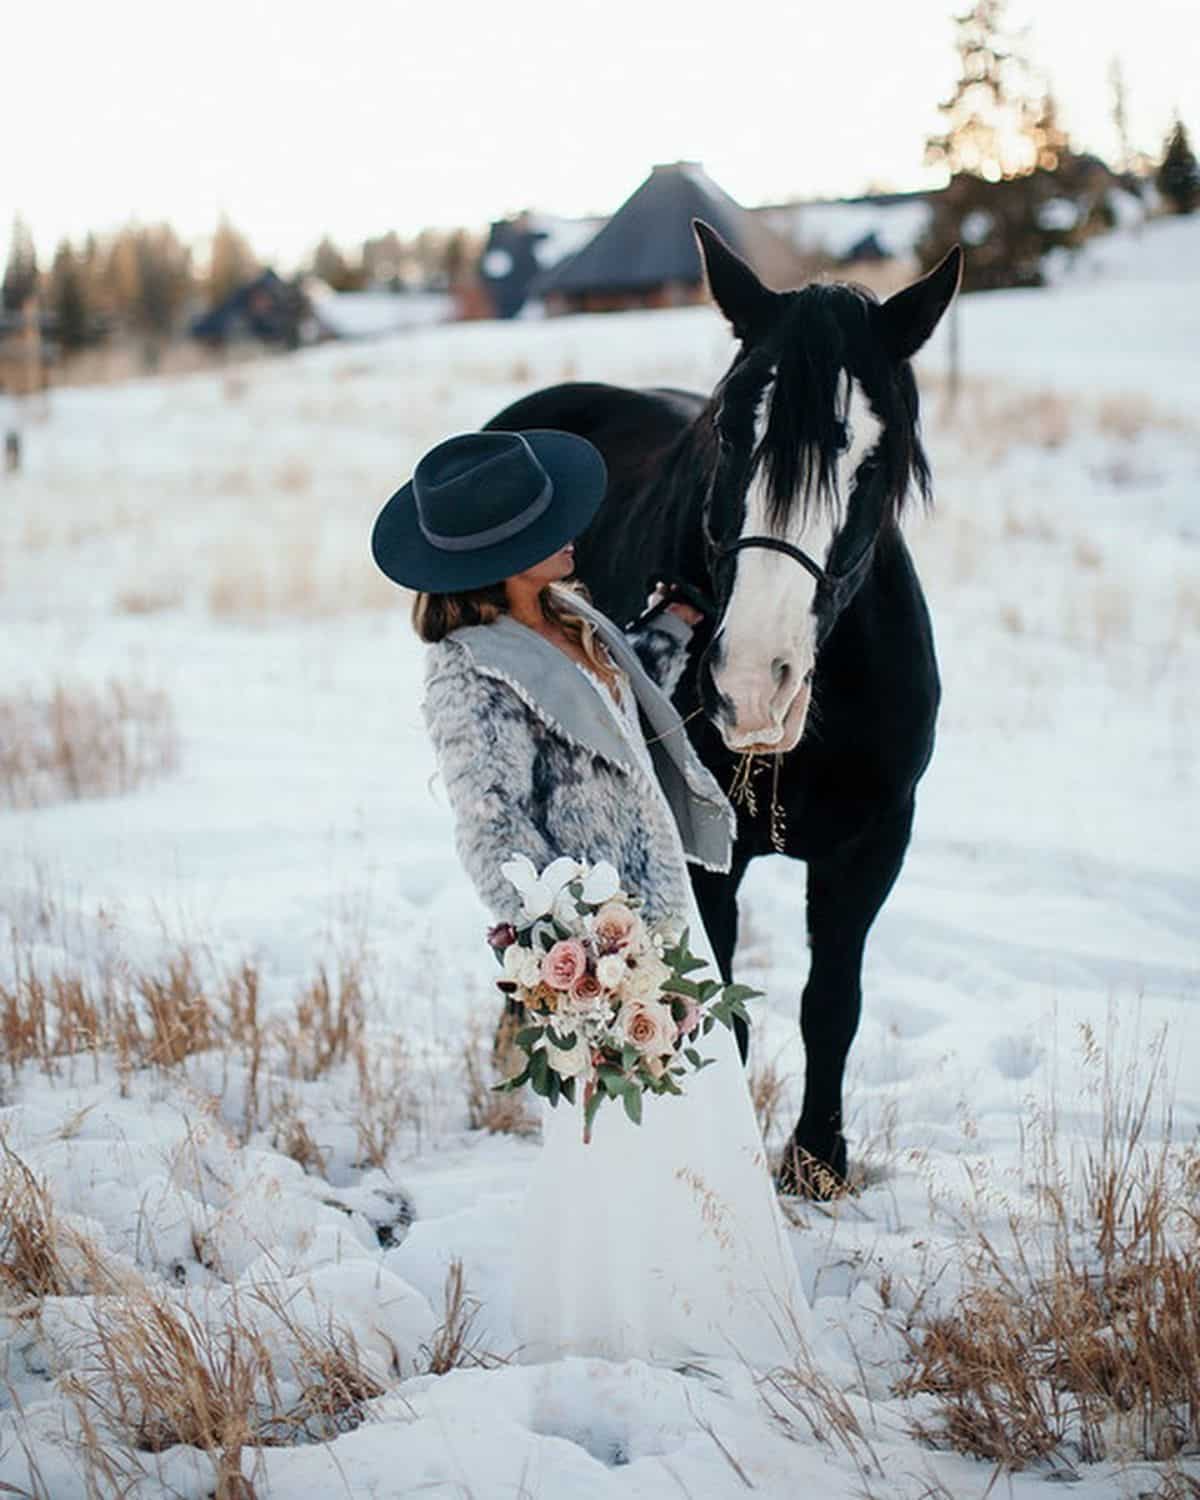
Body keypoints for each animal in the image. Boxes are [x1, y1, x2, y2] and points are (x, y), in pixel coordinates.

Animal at [483, 222, 960, 1188]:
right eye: (730, 432)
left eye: (876, 458)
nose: (748, 687)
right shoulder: (705, 859)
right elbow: (719, 1007)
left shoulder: (874, 844)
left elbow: (831, 1003)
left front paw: (818, 1160)